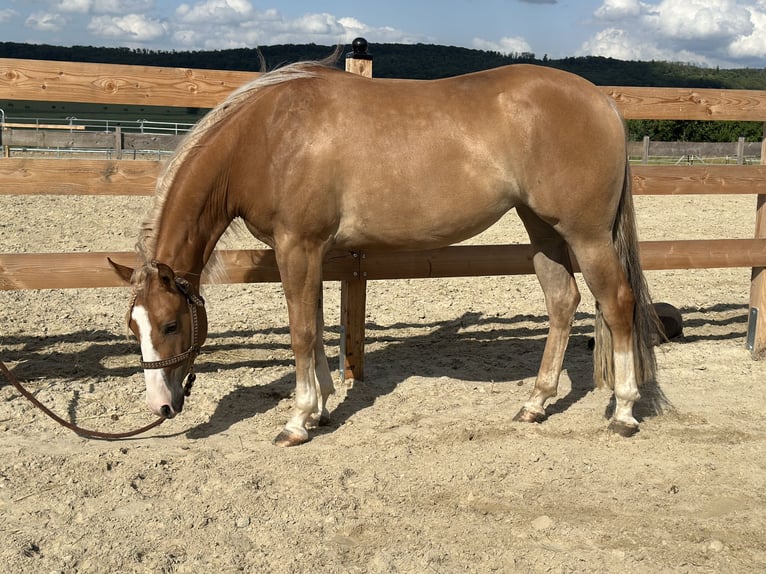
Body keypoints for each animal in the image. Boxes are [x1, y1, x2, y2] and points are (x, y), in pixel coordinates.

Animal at [109, 55, 662, 447]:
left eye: (171, 325)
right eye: (133, 329)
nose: (161, 406)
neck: (267, 138)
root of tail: (603, 102)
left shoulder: (298, 247)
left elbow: (301, 331)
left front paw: (297, 420)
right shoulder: (311, 252)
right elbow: (316, 324)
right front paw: (321, 408)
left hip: (587, 235)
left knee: (618, 304)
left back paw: (625, 410)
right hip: (542, 229)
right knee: (563, 302)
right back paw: (537, 402)